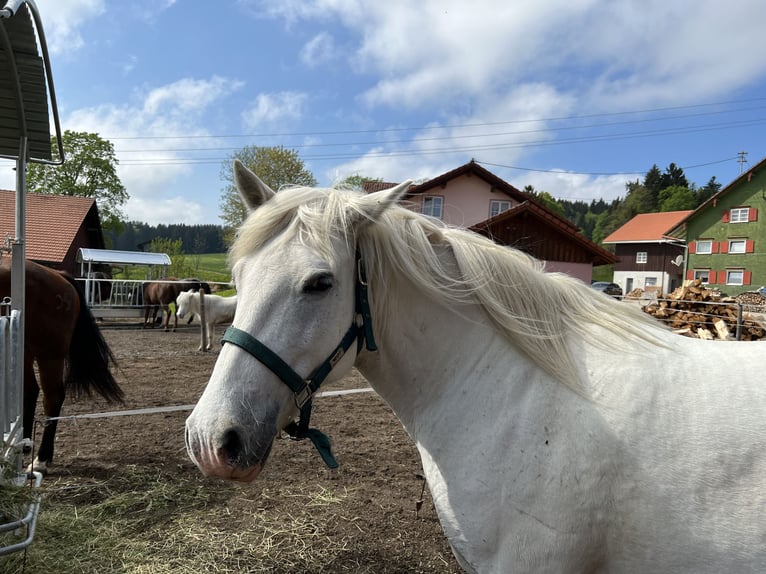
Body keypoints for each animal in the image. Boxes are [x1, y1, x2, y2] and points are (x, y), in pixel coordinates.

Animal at [0, 258, 123, 474]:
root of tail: (60, 277)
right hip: (26, 351)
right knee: (31, 391)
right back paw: (25, 446)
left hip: (49, 356)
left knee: (52, 397)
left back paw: (40, 459)